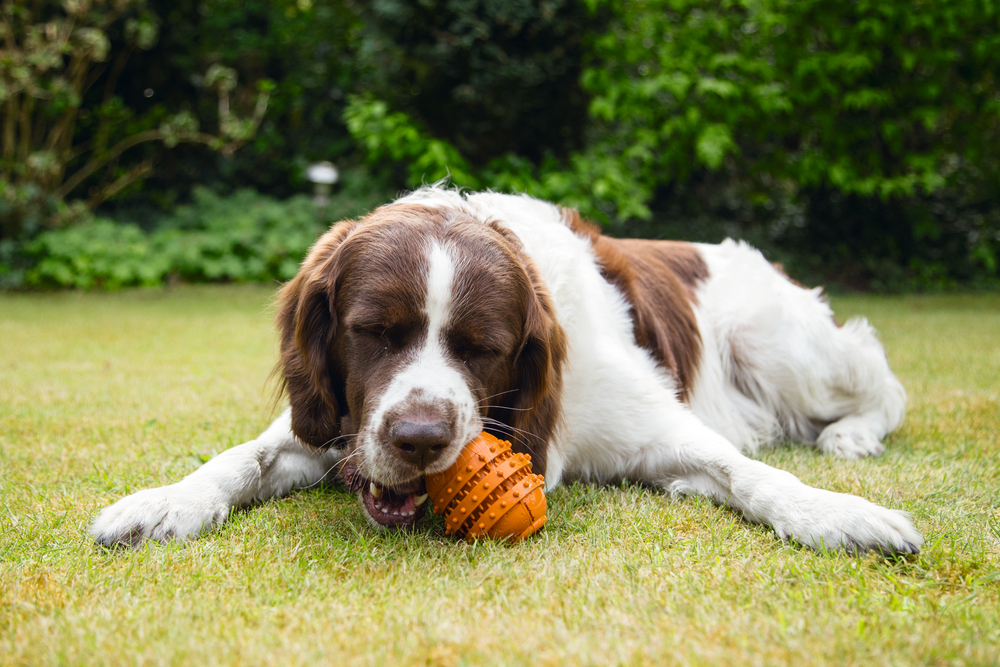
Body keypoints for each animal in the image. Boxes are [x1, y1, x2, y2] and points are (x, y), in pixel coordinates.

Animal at [90, 187, 924, 552]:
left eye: (480, 346)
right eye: (372, 333)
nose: (421, 439)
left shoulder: (657, 426)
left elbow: (751, 472)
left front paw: (837, 514)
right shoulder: (333, 425)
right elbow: (245, 456)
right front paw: (164, 501)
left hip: (782, 345)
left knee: (883, 381)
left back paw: (852, 436)